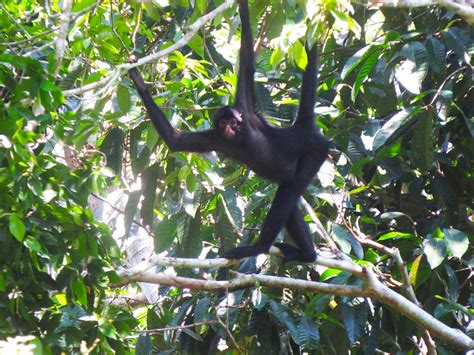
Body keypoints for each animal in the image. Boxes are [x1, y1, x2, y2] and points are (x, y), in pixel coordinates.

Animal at [130, 0, 330, 264]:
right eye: (223, 123)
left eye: (233, 122)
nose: (228, 128)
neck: (241, 140)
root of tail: (300, 130)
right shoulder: (217, 138)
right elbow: (176, 141)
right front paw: (138, 81)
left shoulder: (246, 113)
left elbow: (246, 63)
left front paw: (243, 9)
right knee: (289, 193)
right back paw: (307, 254)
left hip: (316, 151)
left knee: (288, 191)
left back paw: (258, 248)